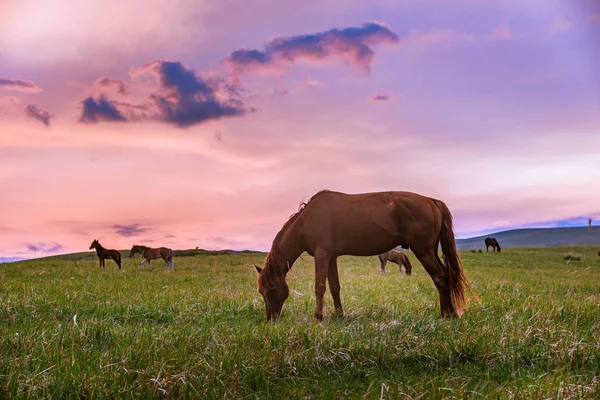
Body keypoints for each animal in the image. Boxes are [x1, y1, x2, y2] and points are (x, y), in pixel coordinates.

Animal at [253, 190, 478, 322]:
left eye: (273, 288)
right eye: (260, 291)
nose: (270, 318)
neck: (307, 218)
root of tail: (432, 201)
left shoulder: (322, 254)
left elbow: (320, 287)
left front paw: (318, 317)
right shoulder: (331, 256)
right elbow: (334, 287)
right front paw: (339, 314)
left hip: (423, 251)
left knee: (440, 278)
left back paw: (446, 315)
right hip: (430, 251)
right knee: (446, 276)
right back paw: (449, 312)